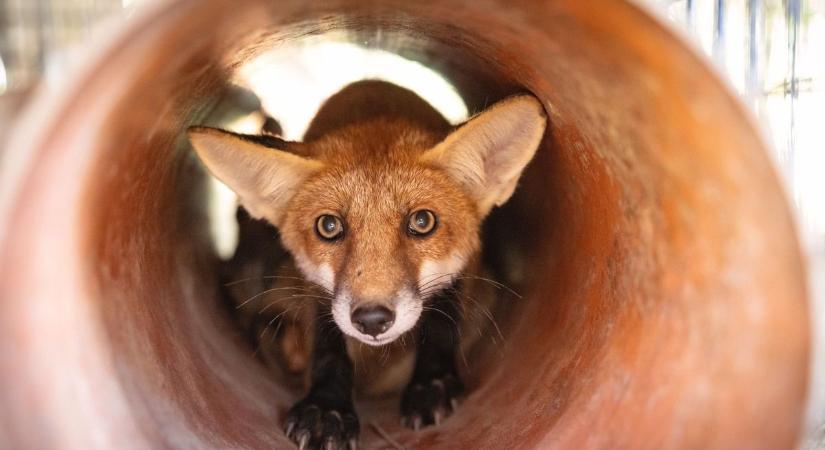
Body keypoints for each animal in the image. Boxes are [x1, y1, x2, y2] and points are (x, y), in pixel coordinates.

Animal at [188, 81, 548, 450]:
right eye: (328, 226)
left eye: (422, 222)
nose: (372, 320)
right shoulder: (315, 291)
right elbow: (328, 345)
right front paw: (326, 408)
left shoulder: (464, 273)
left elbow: (442, 321)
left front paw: (431, 384)